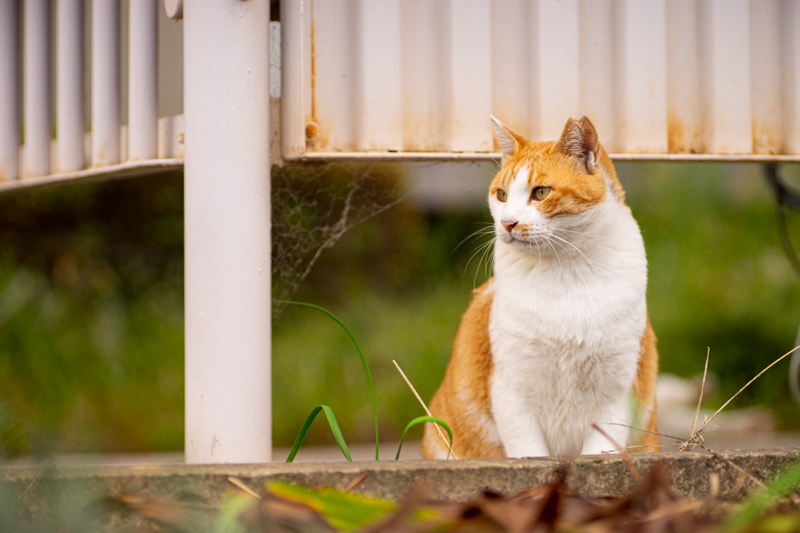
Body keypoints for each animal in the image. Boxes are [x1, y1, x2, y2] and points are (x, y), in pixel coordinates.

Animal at [422, 116, 660, 458]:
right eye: (502, 195)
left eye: (541, 192)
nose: (507, 222)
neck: (565, 273)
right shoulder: (510, 390)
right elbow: (529, 451)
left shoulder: (618, 391)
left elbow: (601, 450)